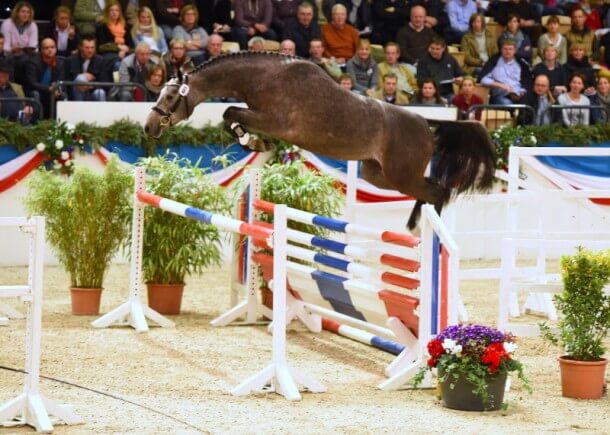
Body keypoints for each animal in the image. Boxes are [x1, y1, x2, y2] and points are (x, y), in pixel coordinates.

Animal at [145, 51, 496, 230]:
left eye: (172, 96)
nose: (149, 127)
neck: (265, 77)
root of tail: (425, 122)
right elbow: (230, 116)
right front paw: (254, 143)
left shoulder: (276, 121)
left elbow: (231, 112)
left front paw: (255, 143)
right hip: (378, 174)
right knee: (429, 189)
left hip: (401, 175)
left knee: (438, 191)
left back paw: (426, 231)